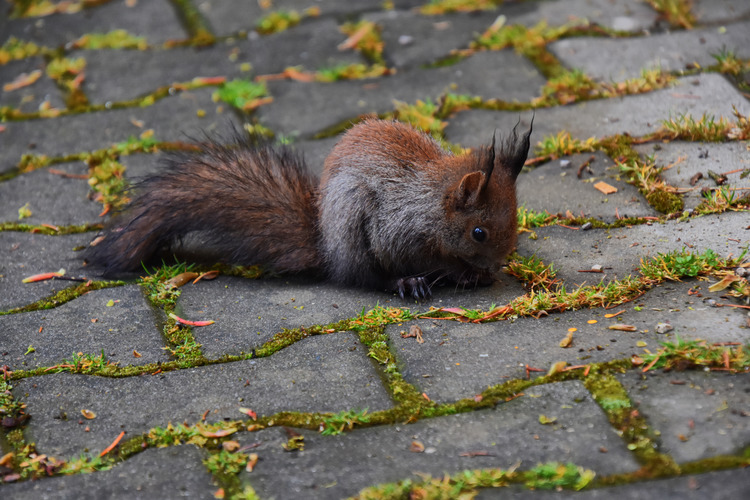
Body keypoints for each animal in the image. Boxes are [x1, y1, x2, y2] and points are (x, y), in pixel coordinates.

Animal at [86, 118, 536, 296]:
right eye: (478, 232)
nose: (497, 267)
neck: (430, 205)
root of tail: (327, 246)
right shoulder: (396, 229)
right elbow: (421, 258)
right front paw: (461, 273)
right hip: (353, 232)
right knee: (363, 278)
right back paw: (403, 283)